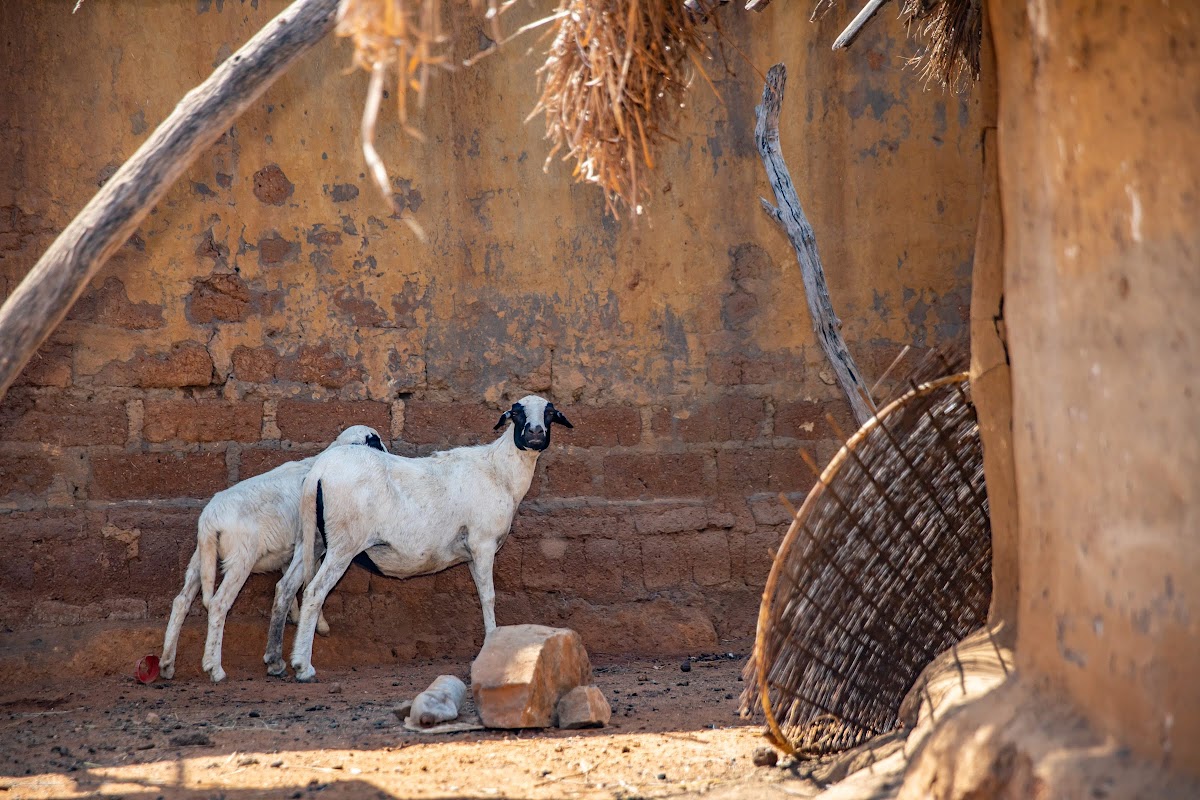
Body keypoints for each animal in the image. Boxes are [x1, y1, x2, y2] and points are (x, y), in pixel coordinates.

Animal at [159, 424, 388, 681]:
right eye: (376, 441)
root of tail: (210, 519)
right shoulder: (316, 543)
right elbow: (309, 582)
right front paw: (319, 626)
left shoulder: (294, 551)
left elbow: (291, 585)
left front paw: (295, 618)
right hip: (240, 558)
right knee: (218, 603)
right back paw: (215, 669)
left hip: (201, 557)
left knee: (181, 601)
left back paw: (167, 664)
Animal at [270, 393, 573, 681]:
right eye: (517, 413)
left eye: (549, 413)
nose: (535, 433)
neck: (501, 472)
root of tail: (318, 473)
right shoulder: (483, 543)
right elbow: (488, 597)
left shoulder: (472, 552)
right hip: (344, 542)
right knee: (313, 592)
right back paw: (303, 667)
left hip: (312, 538)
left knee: (285, 587)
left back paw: (275, 662)